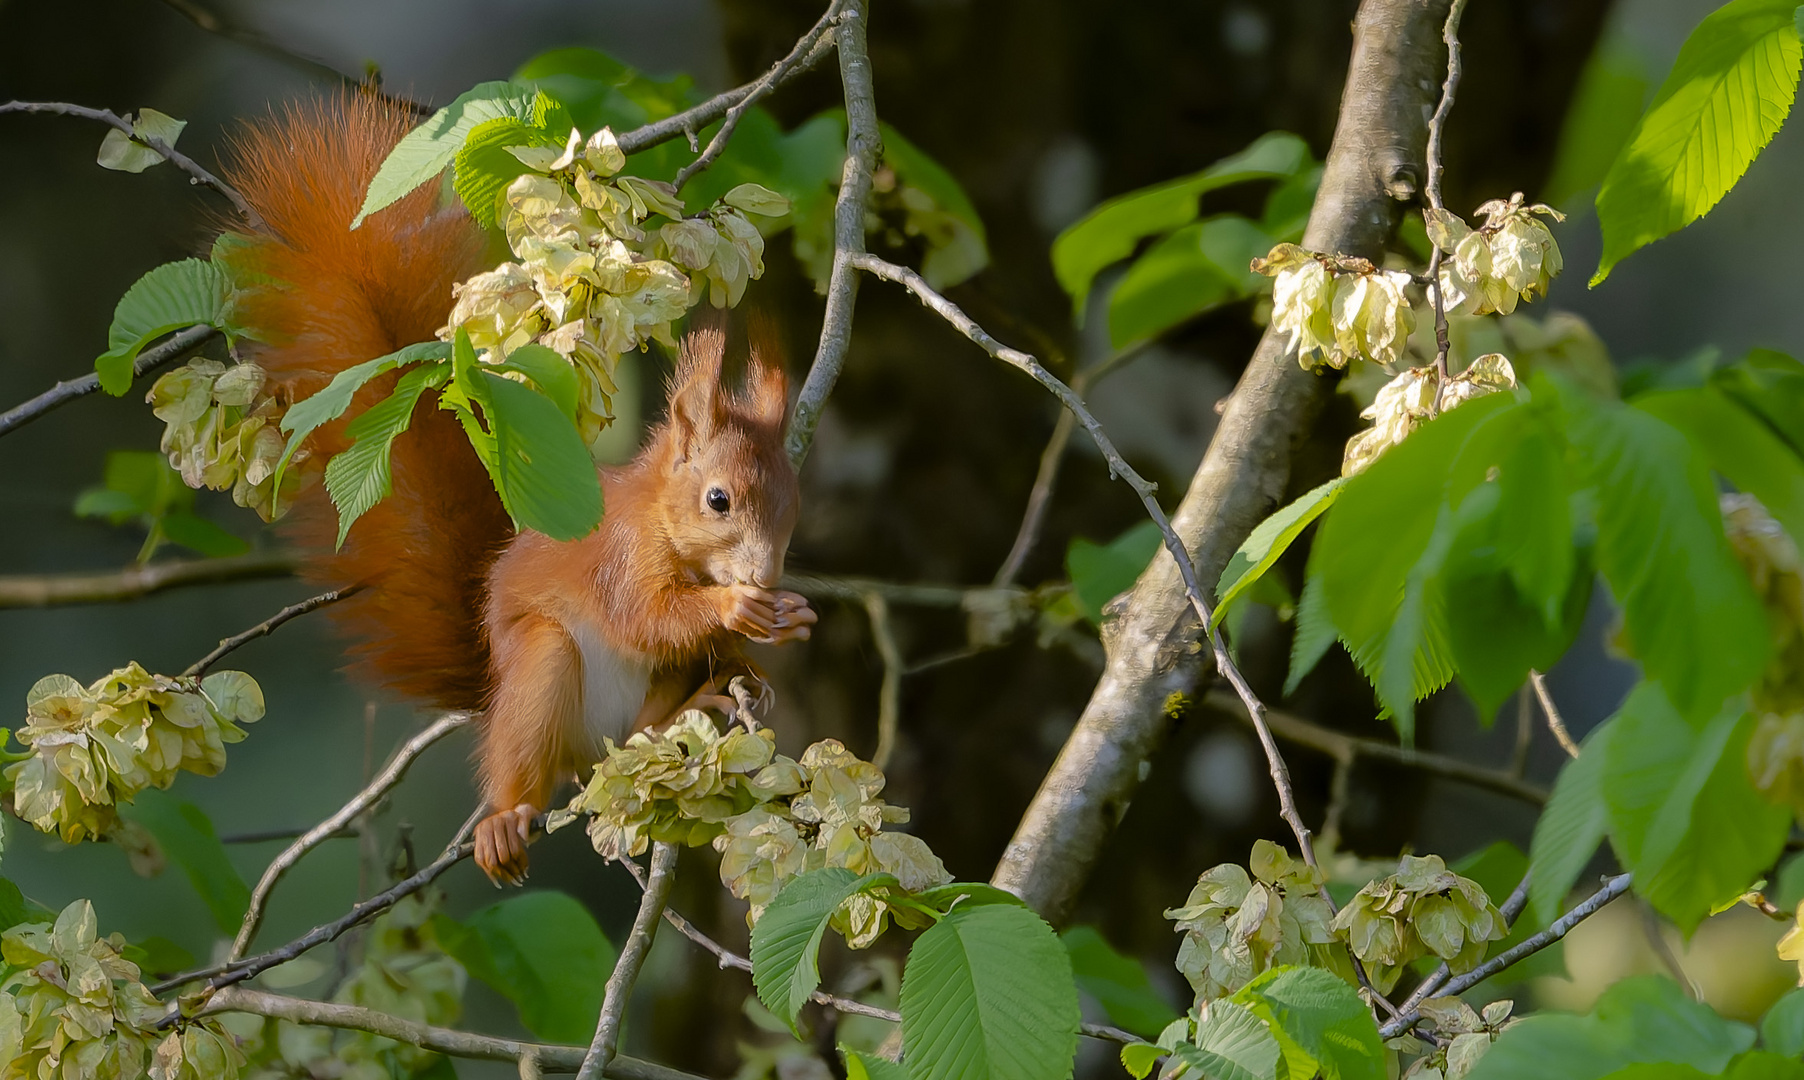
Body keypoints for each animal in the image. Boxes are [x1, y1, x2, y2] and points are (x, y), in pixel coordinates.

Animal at [214, 92, 822, 887]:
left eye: (793, 509)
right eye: (718, 500)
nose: (765, 576)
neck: (663, 523)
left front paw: (785, 619)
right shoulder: (620, 557)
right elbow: (646, 616)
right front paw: (736, 607)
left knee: (646, 725)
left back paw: (709, 695)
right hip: (539, 673)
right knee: (533, 746)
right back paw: (505, 818)